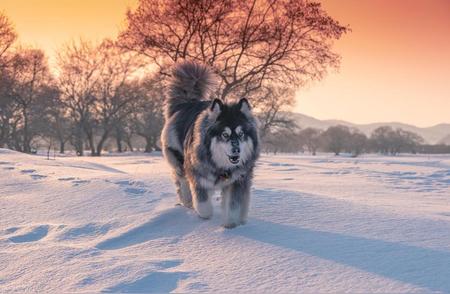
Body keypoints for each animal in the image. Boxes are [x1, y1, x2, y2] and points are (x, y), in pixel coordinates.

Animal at [162, 60, 260, 229]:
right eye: (225, 135)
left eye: (241, 134)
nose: (236, 151)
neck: (221, 167)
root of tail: (187, 103)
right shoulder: (198, 176)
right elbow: (203, 205)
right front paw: (205, 216)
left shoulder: (237, 181)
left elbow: (233, 206)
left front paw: (230, 224)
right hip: (178, 159)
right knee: (182, 181)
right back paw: (187, 201)